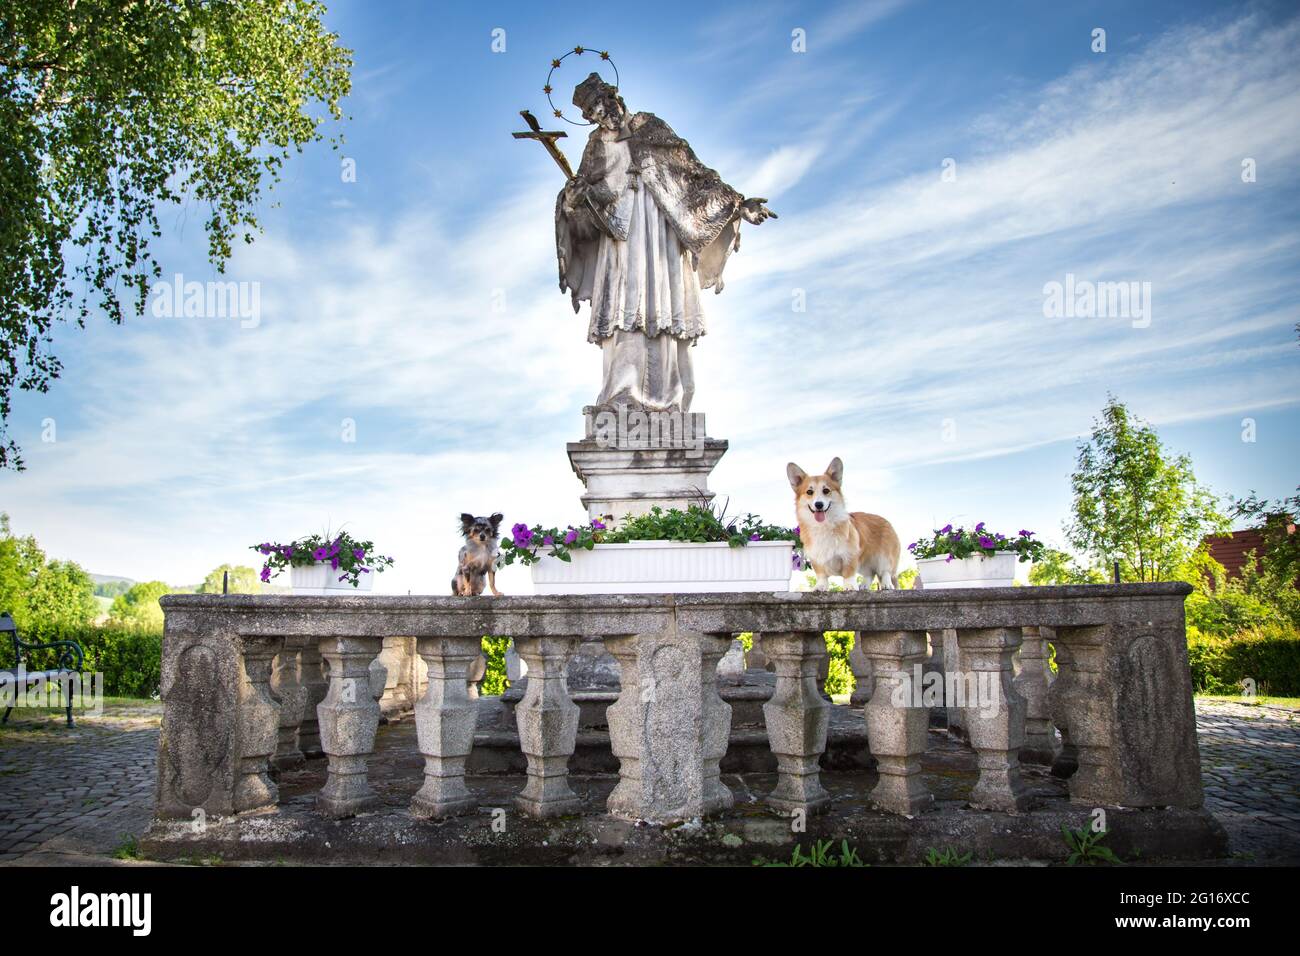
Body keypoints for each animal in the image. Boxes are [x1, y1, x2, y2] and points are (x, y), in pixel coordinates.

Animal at [785, 457, 899, 590]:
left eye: (826, 490)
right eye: (809, 492)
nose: (819, 504)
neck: (823, 525)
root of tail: (885, 520)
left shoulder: (850, 555)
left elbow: (848, 573)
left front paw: (850, 586)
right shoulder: (816, 558)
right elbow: (821, 575)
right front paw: (820, 586)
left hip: (884, 557)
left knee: (885, 572)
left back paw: (886, 584)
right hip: (865, 562)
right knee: (870, 573)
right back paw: (864, 585)